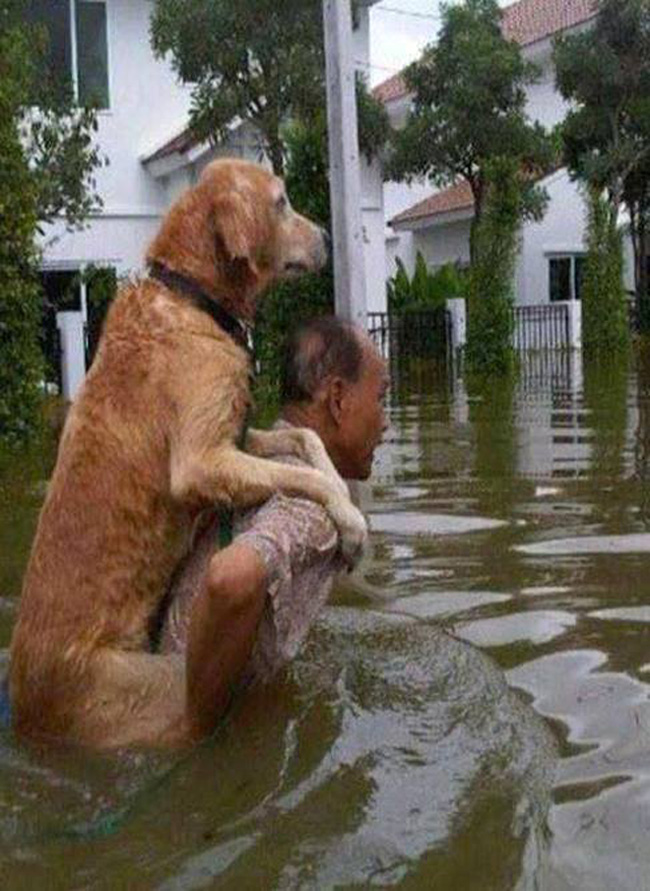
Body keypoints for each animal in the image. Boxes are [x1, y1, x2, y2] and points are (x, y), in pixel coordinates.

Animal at [7, 159, 364, 744]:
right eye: (282, 201)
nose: (331, 237)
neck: (193, 298)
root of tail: (23, 708)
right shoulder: (201, 461)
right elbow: (308, 478)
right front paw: (353, 523)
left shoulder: (234, 434)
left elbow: (304, 440)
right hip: (148, 685)